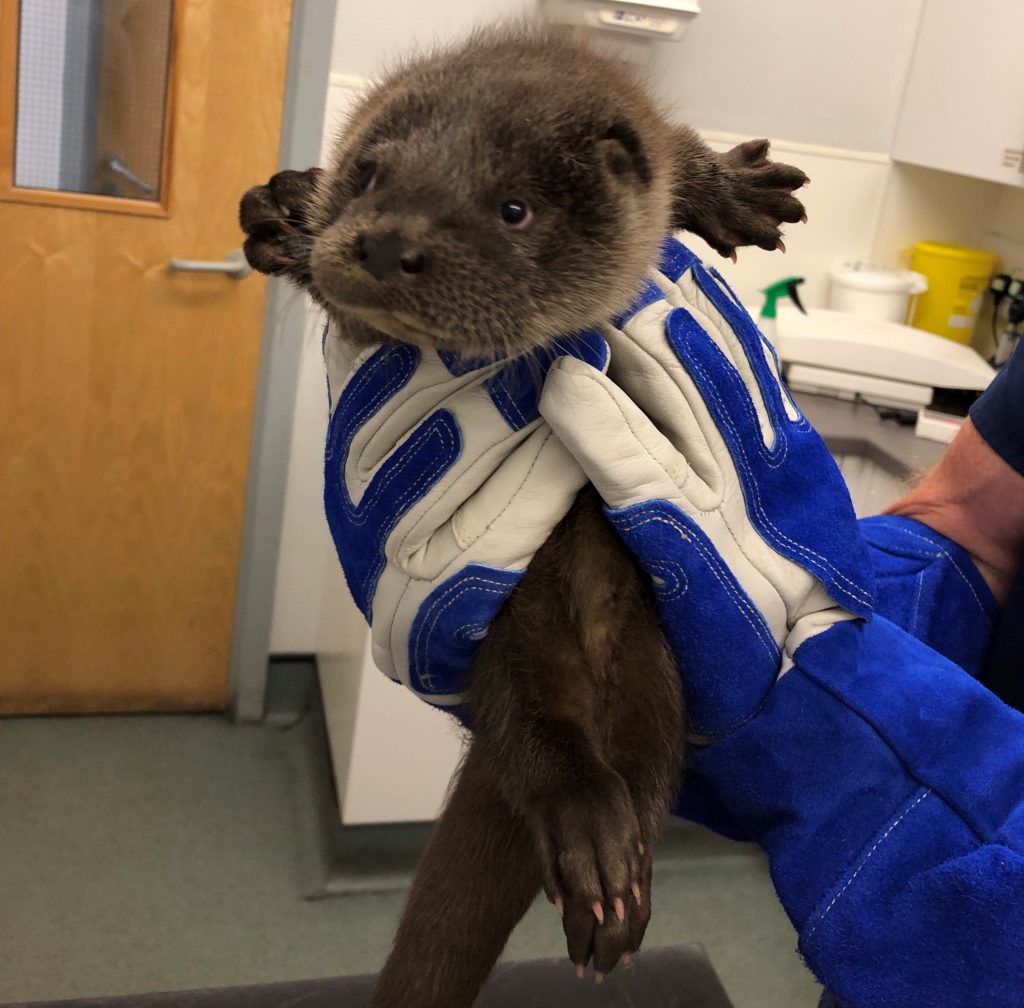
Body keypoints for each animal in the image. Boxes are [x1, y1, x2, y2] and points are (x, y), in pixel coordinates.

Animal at [240, 22, 807, 1008]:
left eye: (514, 209)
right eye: (370, 175)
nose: (386, 245)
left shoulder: (648, 139)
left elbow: (679, 163)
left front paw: (739, 189)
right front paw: (283, 209)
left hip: (661, 660)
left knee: (652, 765)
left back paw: (616, 877)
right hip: (510, 644)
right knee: (542, 746)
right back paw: (592, 846)